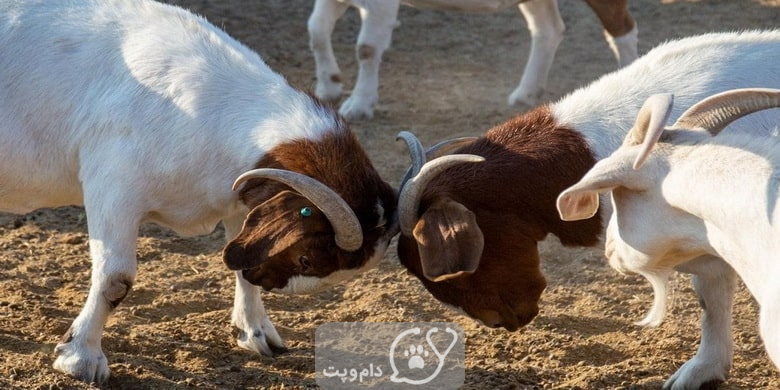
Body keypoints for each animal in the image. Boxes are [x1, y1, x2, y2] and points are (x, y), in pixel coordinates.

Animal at [308, 0, 636, 119]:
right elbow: (317, 29)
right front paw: (328, 86)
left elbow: (367, 48)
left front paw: (359, 105)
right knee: (547, 29)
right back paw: (526, 92)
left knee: (624, 31)